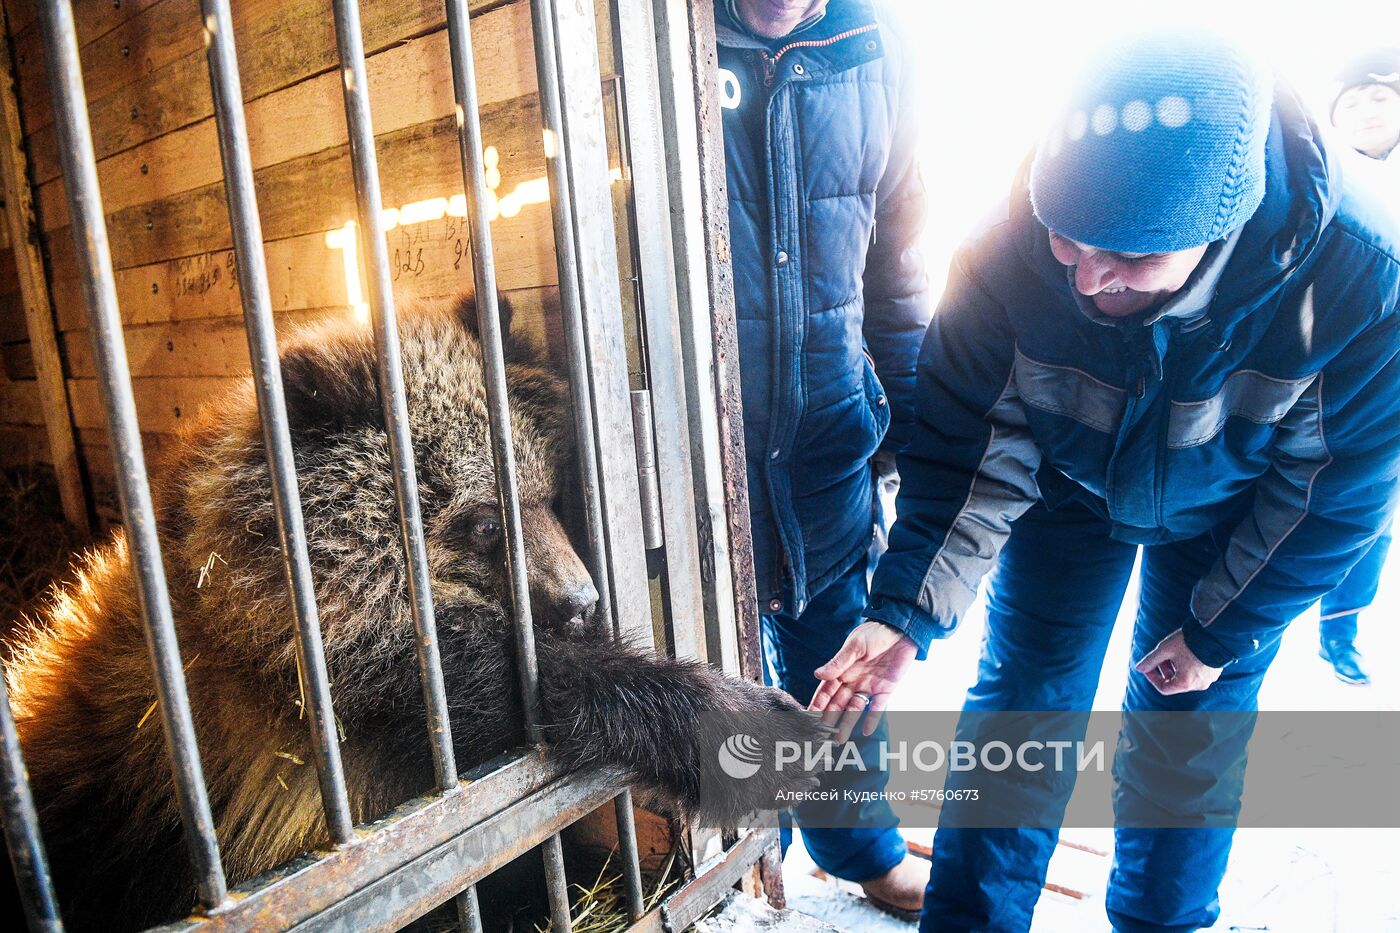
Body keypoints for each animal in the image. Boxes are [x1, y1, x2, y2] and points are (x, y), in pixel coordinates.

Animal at [2, 299, 817, 930]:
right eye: (485, 522)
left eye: (548, 492)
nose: (583, 600)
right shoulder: (332, 700)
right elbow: (521, 683)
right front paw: (758, 721)